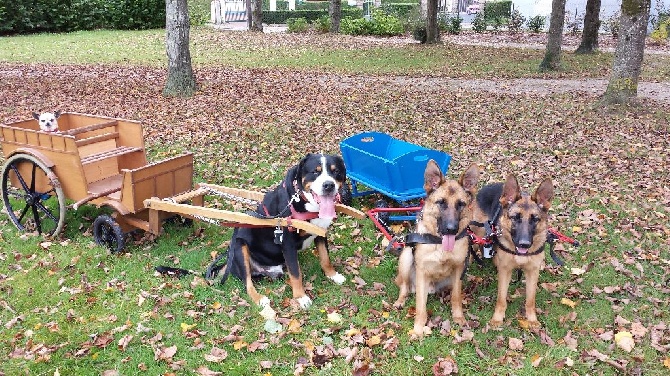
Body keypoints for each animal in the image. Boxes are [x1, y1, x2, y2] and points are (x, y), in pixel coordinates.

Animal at [213, 153, 350, 308]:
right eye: (315, 172)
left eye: (336, 171)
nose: (328, 185)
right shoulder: (287, 243)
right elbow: (296, 273)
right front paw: (301, 297)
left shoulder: (321, 232)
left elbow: (325, 258)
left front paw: (333, 275)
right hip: (238, 245)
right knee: (247, 283)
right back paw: (260, 299)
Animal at [394, 160, 484, 336]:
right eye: (441, 202)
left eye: (461, 204)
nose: (451, 229)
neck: (440, 245)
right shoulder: (421, 272)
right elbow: (420, 307)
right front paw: (418, 329)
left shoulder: (459, 270)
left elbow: (456, 297)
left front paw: (458, 317)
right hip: (407, 256)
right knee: (404, 286)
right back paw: (400, 300)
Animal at [476, 173, 560, 326]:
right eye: (515, 217)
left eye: (535, 219)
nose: (524, 244)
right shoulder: (505, 271)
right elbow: (501, 298)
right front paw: (497, 318)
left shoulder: (533, 272)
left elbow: (530, 300)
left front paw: (532, 319)